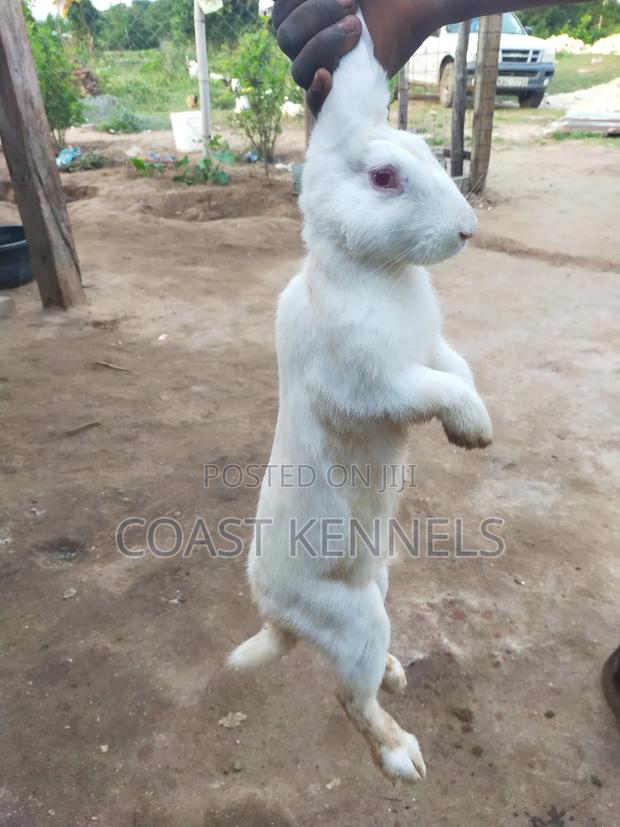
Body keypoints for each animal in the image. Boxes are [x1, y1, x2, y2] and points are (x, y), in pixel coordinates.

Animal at [228, 12, 492, 784]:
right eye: (382, 178)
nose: (468, 229)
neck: (376, 269)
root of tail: (278, 615)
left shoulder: (431, 349)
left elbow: (457, 367)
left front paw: (480, 417)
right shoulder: (376, 382)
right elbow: (433, 389)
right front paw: (473, 430)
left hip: (378, 586)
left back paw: (400, 673)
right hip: (352, 620)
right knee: (351, 699)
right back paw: (403, 755)